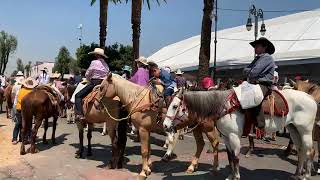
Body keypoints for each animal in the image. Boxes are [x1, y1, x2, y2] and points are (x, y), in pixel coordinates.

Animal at [164, 88, 318, 179]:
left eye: (175, 106)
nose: (165, 125)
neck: (226, 108)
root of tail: (311, 98)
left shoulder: (234, 137)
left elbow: (236, 157)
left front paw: (236, 177)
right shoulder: (226, 137)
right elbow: (230, 157)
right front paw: (230, 176)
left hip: (305, 130)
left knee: (310, 151)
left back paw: (306, 175)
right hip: (293, 129)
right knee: (301, 150)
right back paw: (297, 173)